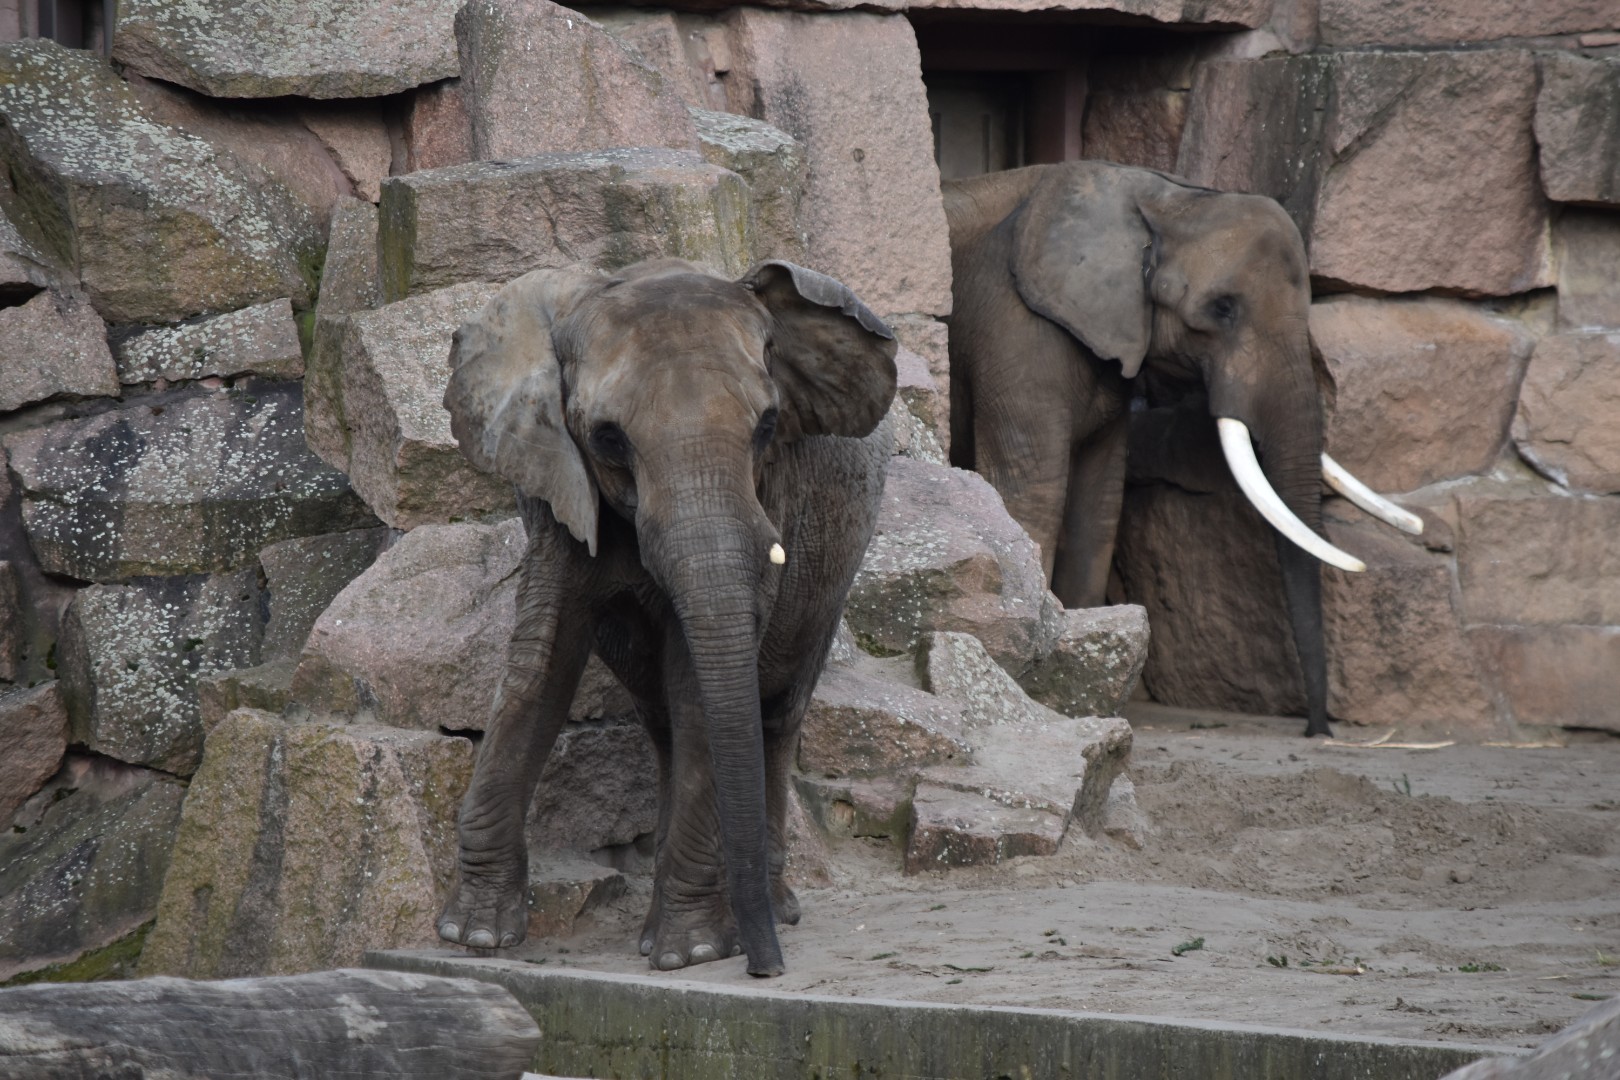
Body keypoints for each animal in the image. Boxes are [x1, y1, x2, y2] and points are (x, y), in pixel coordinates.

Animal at [435, 257, 897, 977]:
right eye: (607, 438)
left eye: (769, 427)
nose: (768, 970)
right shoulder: (554, 486)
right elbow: (541, 656)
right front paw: (473, 938)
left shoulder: (775, 493)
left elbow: (700, 681)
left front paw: (693, 952)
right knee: (663, 722)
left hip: (840, 565)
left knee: (775, 710)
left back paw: (767, 910)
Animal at [943, 161, 1420, 737]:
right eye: (1222, 309)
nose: (1317, 732)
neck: (1160, 196)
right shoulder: (1016, 330)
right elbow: (1031, 492)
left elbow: (1097, 504)